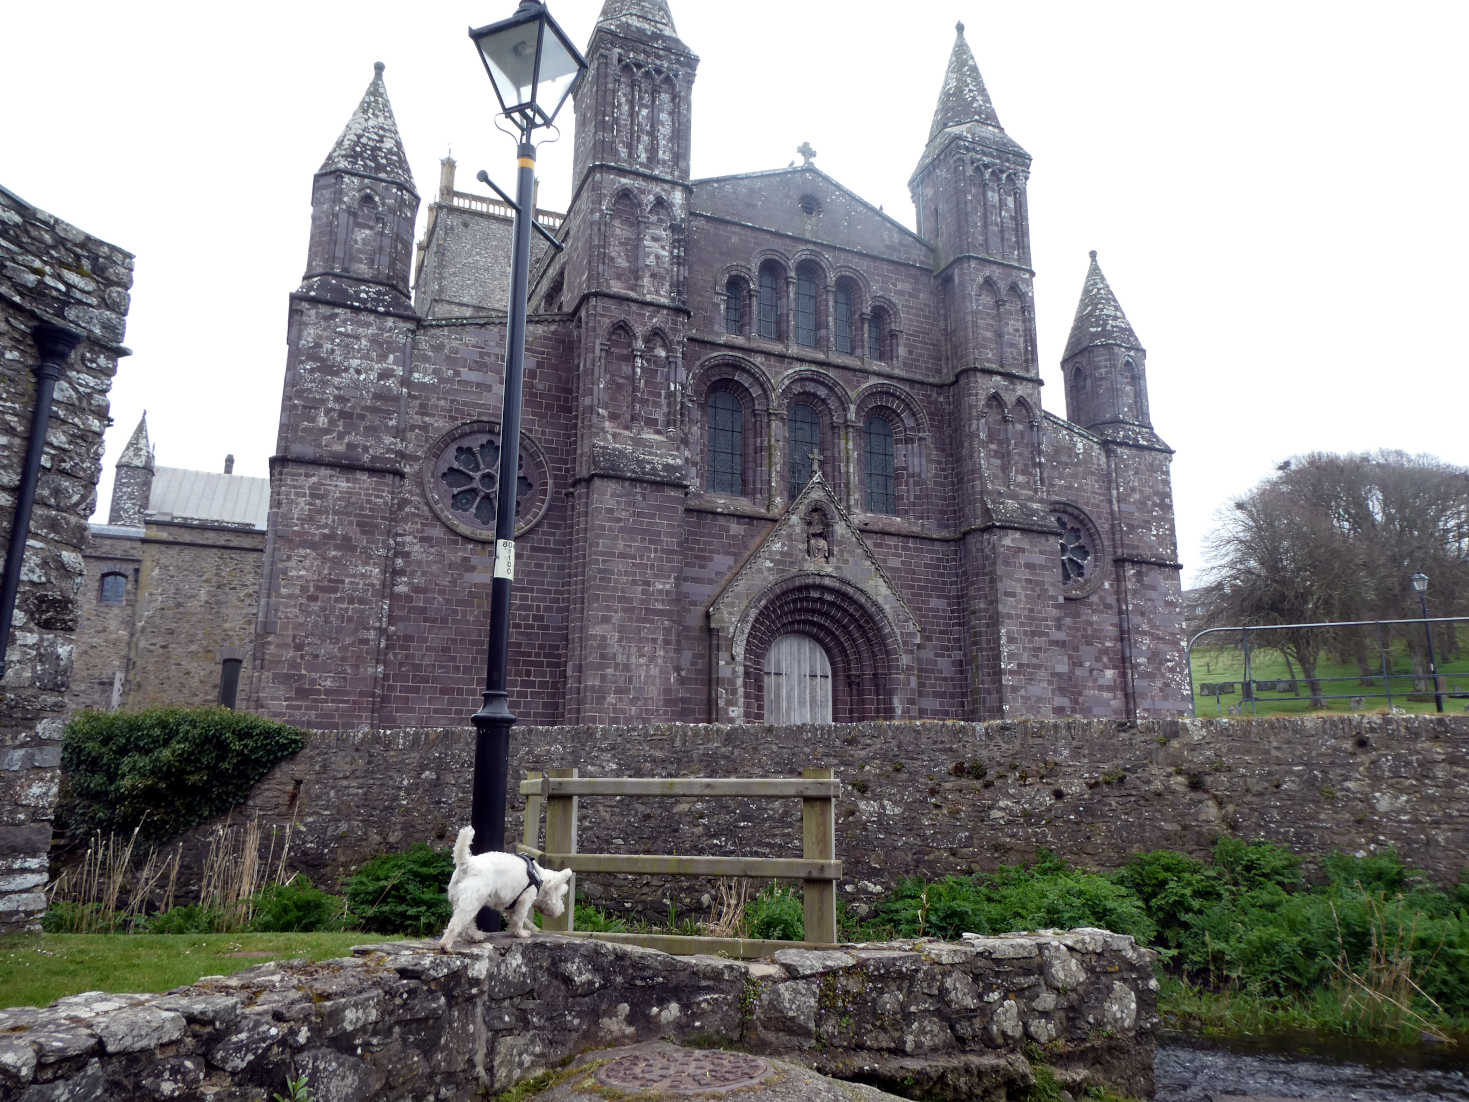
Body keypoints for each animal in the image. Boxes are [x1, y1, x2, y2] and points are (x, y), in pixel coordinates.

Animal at [434, 828, 572, 952]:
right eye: (561, 896)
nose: (562, 910)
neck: (539, 877)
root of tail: (466, 864)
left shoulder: (511, 903)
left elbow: (514, 918)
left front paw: (515, 931)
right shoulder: (525, 900)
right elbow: (520, 918)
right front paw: (521, 933)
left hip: (463, 901)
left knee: (467, 924)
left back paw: (476, 936)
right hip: (472, 901)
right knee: (456, 924)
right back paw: (446, 945)